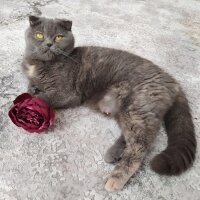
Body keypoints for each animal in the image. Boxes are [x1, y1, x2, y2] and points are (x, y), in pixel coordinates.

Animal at [22, 15, 197, 191]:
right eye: (39, 35)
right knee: (137, 135)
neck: (40, 65)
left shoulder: (68, 94)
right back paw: (114, 154)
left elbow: (42, 97)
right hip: (130, 111)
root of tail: (172, 80)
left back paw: (116, 178)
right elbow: (32, 86)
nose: (48, 44)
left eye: (58, 37)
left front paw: (28, 101)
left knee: (140, 145)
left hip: (137, 107)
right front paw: (32, 89)